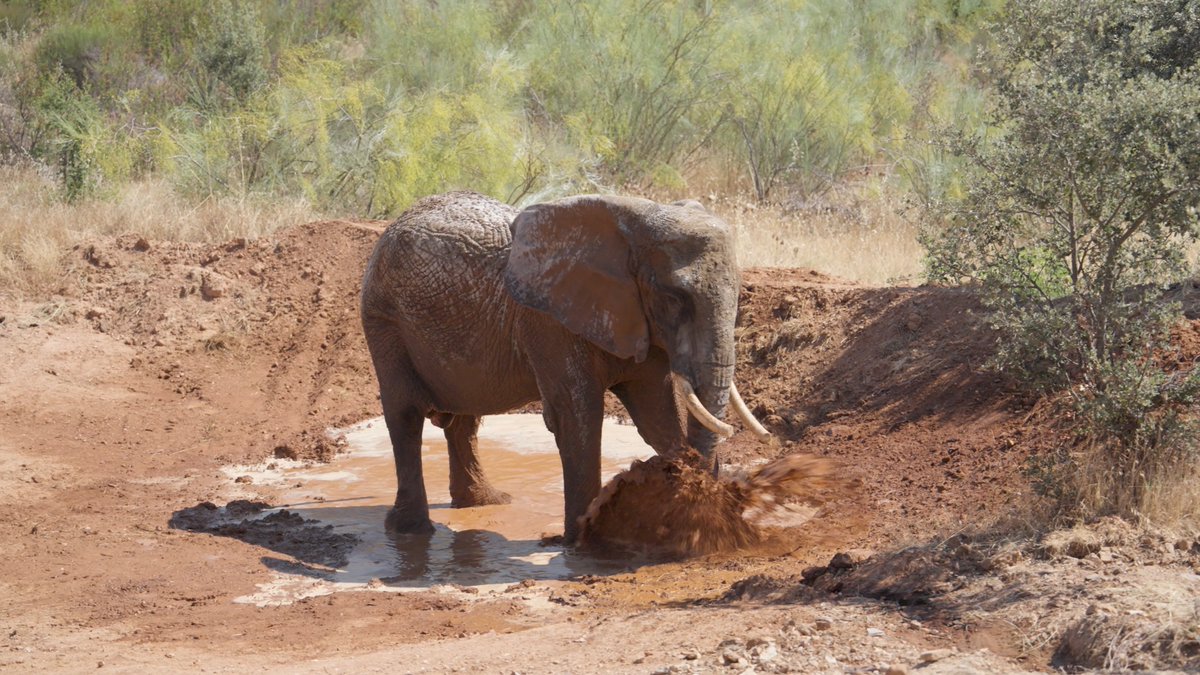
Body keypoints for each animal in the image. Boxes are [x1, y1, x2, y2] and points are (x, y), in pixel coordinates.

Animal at [360, 191, 769, 542]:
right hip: (384, 321)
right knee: (406, 415)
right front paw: (582, 543)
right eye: (673, 297)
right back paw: (411, 531)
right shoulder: (550, 324)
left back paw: (485, 502)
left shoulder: (640, 320)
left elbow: (657, 413)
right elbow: (578, 414)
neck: (634, 219)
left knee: (464, 419)